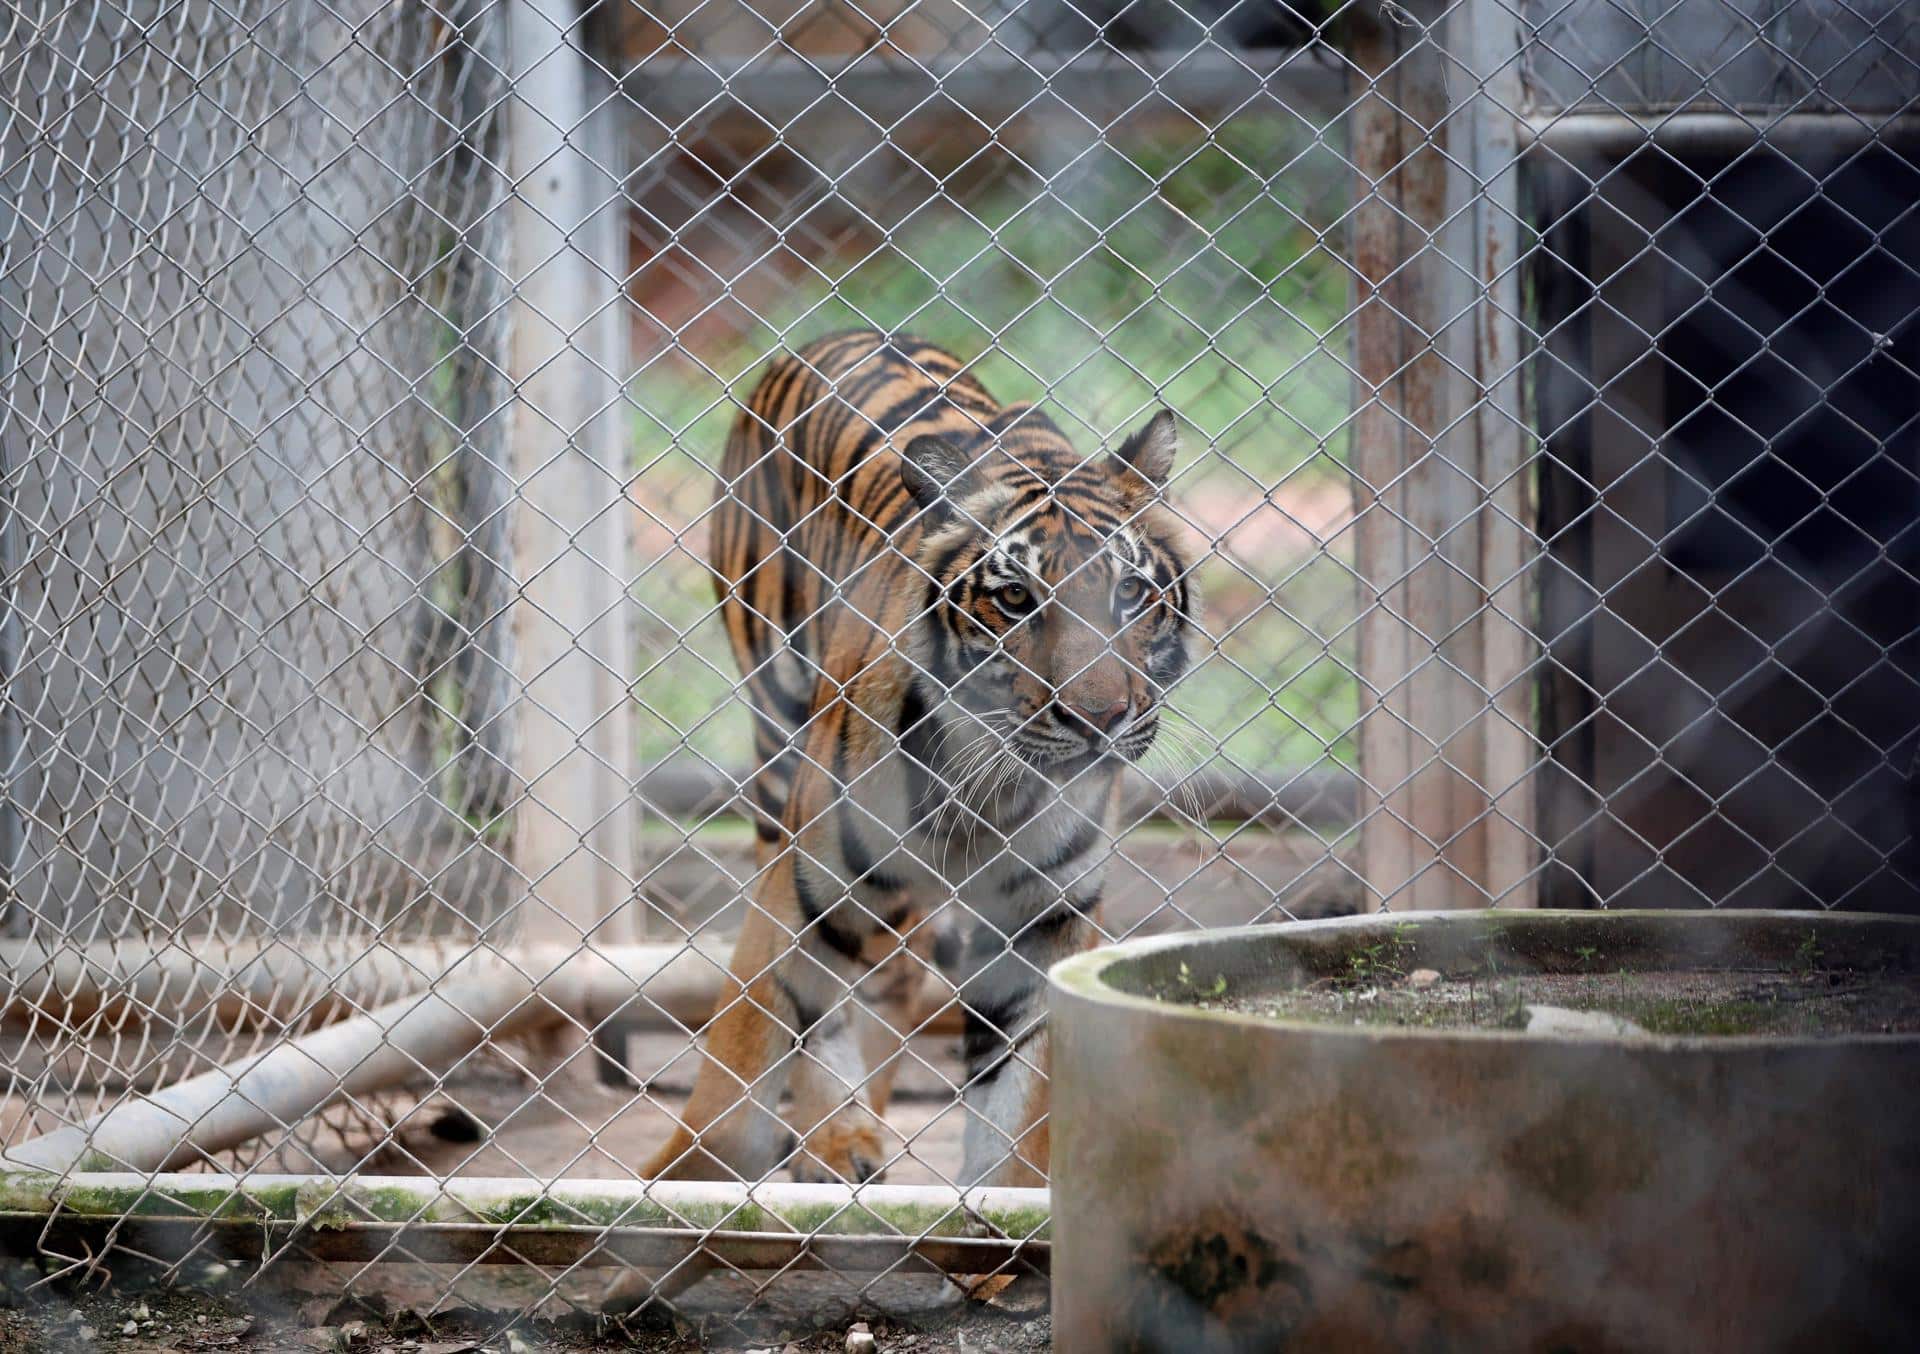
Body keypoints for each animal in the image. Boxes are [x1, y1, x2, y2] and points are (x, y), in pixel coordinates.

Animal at [640, 329, 1199, 1188]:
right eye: (1015, 599)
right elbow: (765, 1039)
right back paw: (823, 1138)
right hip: (778, 747)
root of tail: (836, 334)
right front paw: (700, 1173)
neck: (989, 786)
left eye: (1131, 594)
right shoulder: (810, 882)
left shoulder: (1044, 919)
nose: (1100, 720)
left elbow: (1020, 1111)